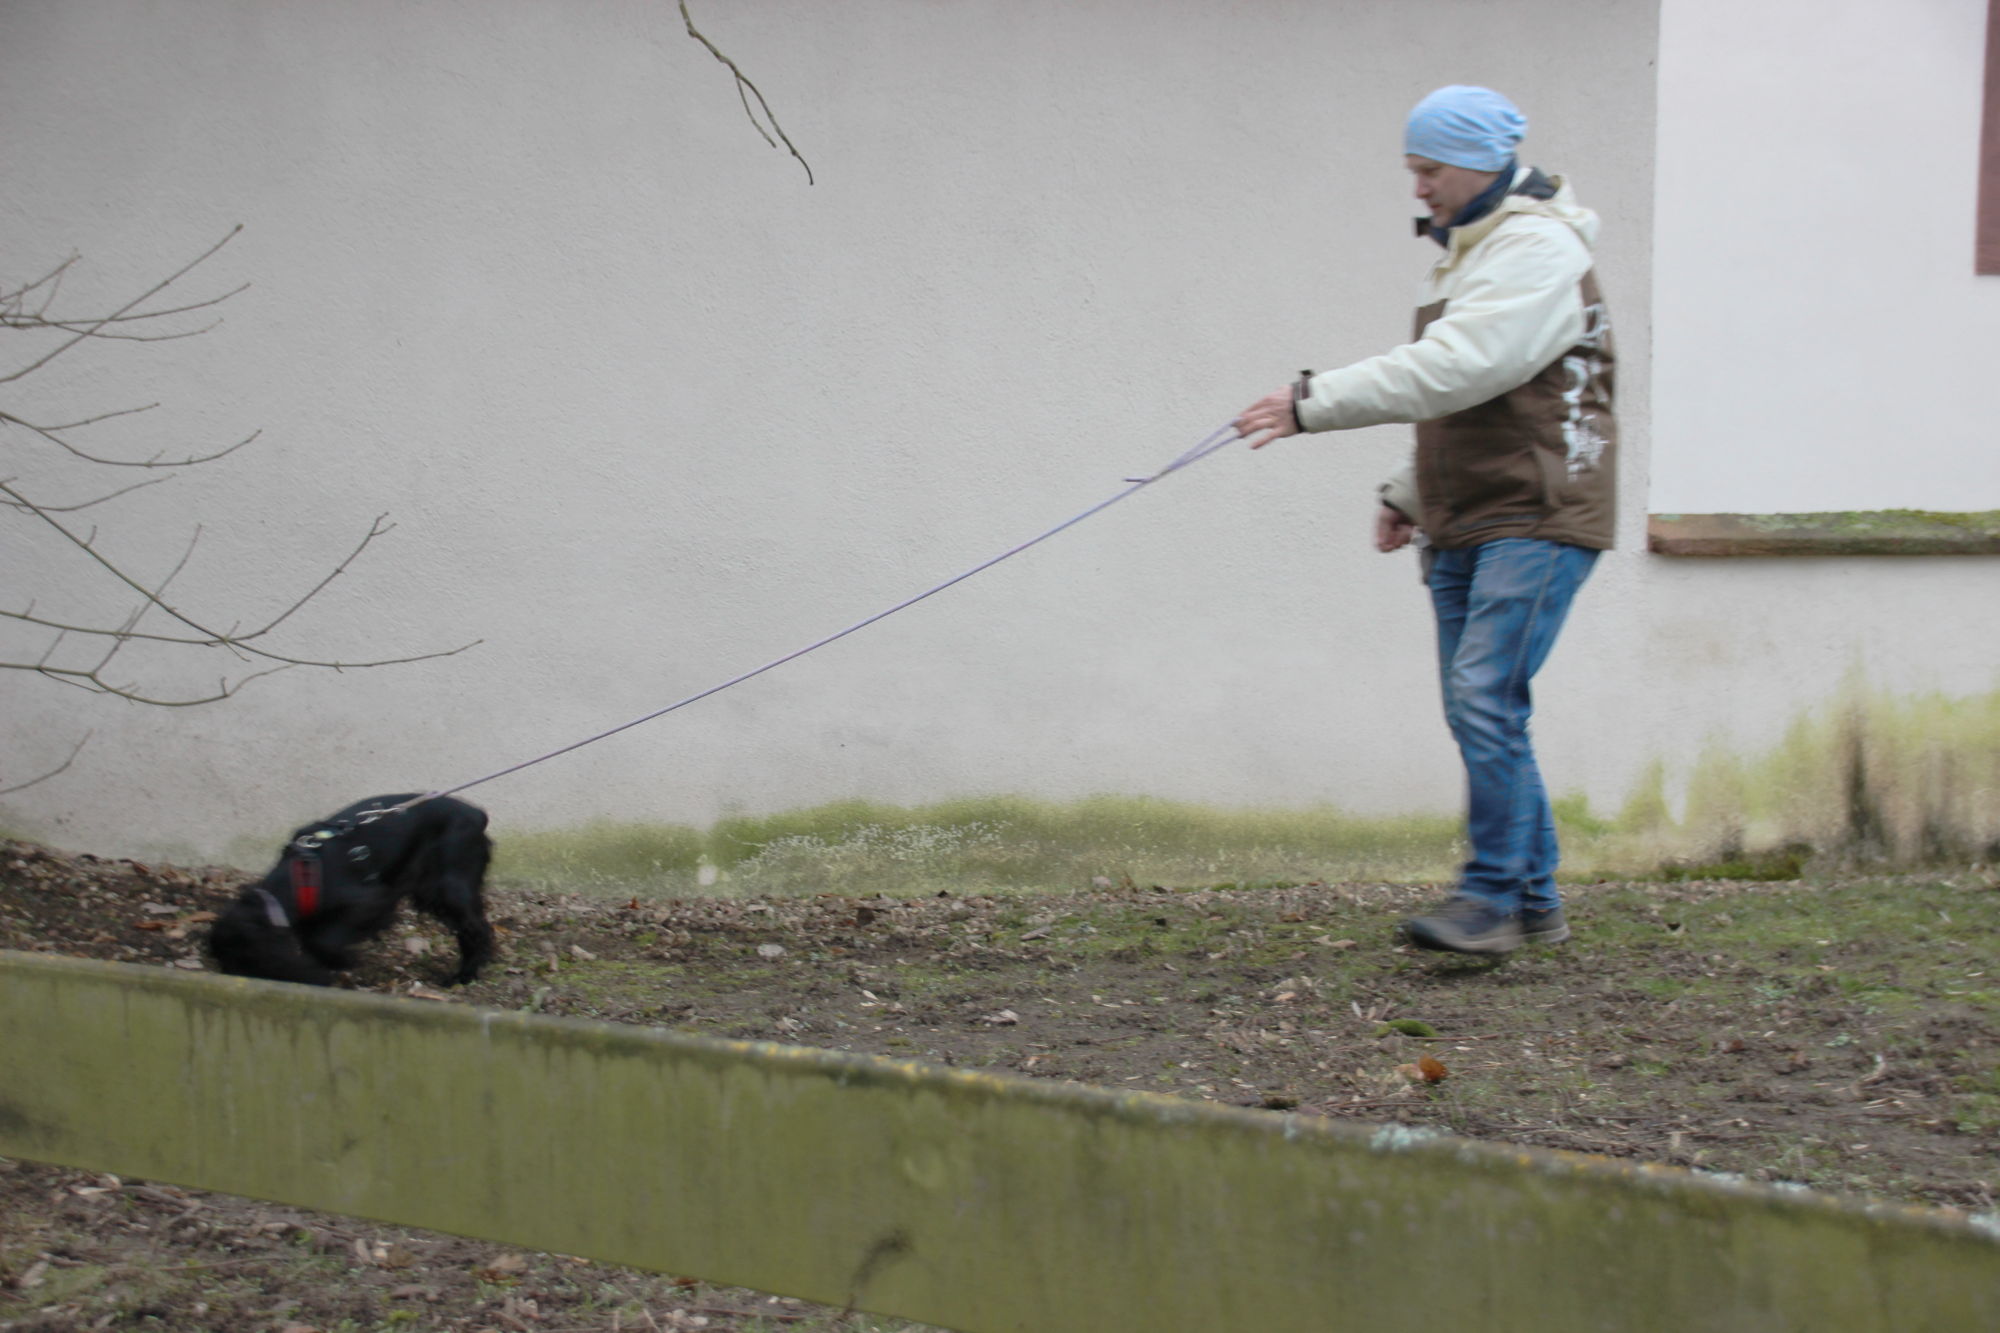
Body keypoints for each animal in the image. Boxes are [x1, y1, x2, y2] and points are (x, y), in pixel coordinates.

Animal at [207, 788, 496, 984]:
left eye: (243, 957)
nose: (230, 975)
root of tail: (476, 814)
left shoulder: (371, 900)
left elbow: (323, 940)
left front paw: (341, 962)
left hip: (449, 887)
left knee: (478, 929)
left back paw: (464, 976)